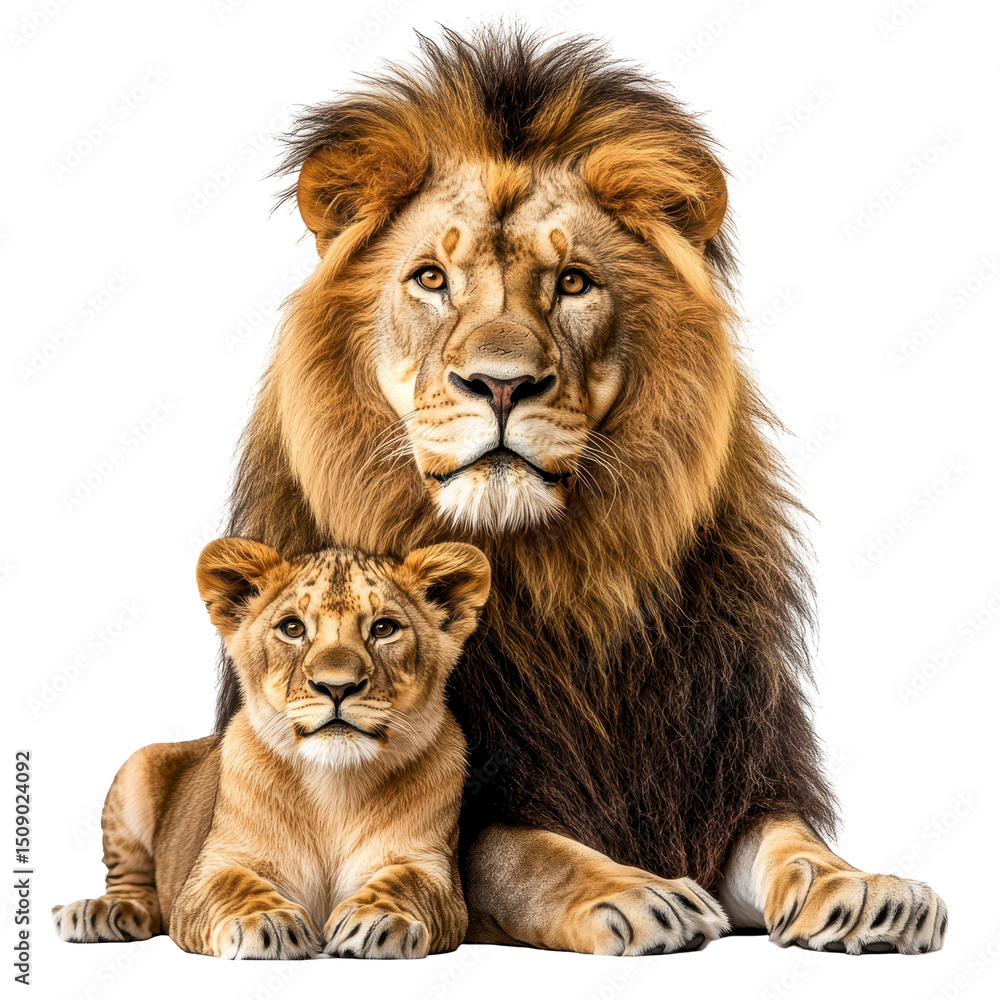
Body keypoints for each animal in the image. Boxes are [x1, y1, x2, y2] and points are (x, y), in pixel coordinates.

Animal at [53, 537, 490, 958]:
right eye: (292, 628)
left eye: (384, 628)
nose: (336, 687)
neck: (335, 788)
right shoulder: (208, 872)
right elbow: (233, 885)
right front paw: (266, 921)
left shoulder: (436, 872)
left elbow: (408, 882)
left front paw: (377, 918)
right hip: (136, 765)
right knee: (133, 887)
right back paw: (99, 911)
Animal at [215, 25, 947, 955]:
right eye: (430, 279)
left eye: (572, 283)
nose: (500, 383)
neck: (557, 579)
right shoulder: (457, 813)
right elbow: (534, 855)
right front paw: (641, 894)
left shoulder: (724, 771)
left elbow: (791, 839)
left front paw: (865, 888)